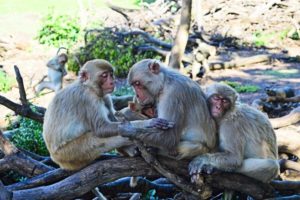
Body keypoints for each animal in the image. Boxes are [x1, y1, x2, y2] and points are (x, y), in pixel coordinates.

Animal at [42, 58, 173, 170]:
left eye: (111, 74)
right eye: (104, 76)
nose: (112, 82)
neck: (89, 86)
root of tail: (57, 161)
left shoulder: (105, 95)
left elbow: (114, 115)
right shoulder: (88, 99)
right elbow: (101, 128)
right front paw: (149, 122)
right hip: (71, 153)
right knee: (100, 140)